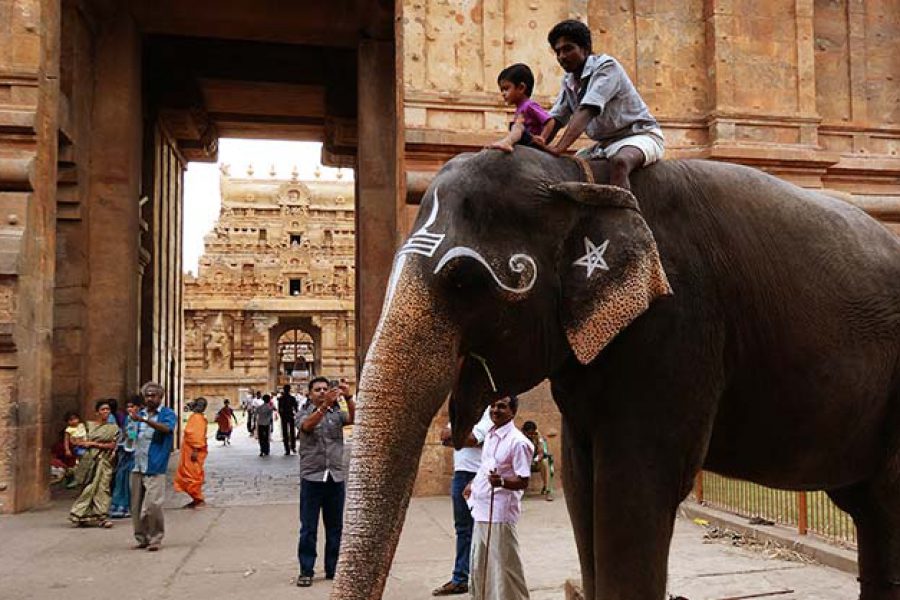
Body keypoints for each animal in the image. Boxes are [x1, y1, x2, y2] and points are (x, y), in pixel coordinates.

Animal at [330, 146, 900, 600]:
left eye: (466, 282)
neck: (578, 173)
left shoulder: (677, 322)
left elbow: (634, 486)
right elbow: (581, 483)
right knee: (872, 512)